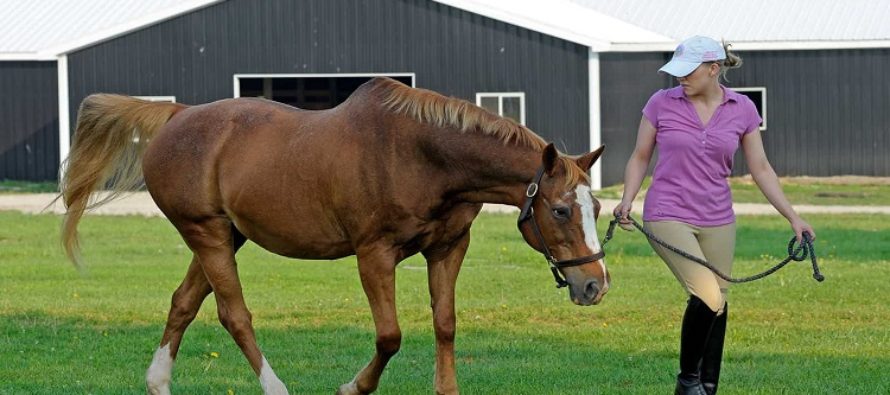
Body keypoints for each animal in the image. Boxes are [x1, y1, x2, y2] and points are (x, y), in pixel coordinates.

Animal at [59, 78, 608, 395]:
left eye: (598, 207)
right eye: (561, 209)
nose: (595, 285)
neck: (425, 155)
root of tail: (177, 116)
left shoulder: (448, 249)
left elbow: (445, 325)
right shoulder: (374, 254)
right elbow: (389, 336)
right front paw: (353, 387)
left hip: (224, 238)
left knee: (183, 304)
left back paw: (158, 382)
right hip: (208, 235)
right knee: (234, 315)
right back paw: (275, 388)